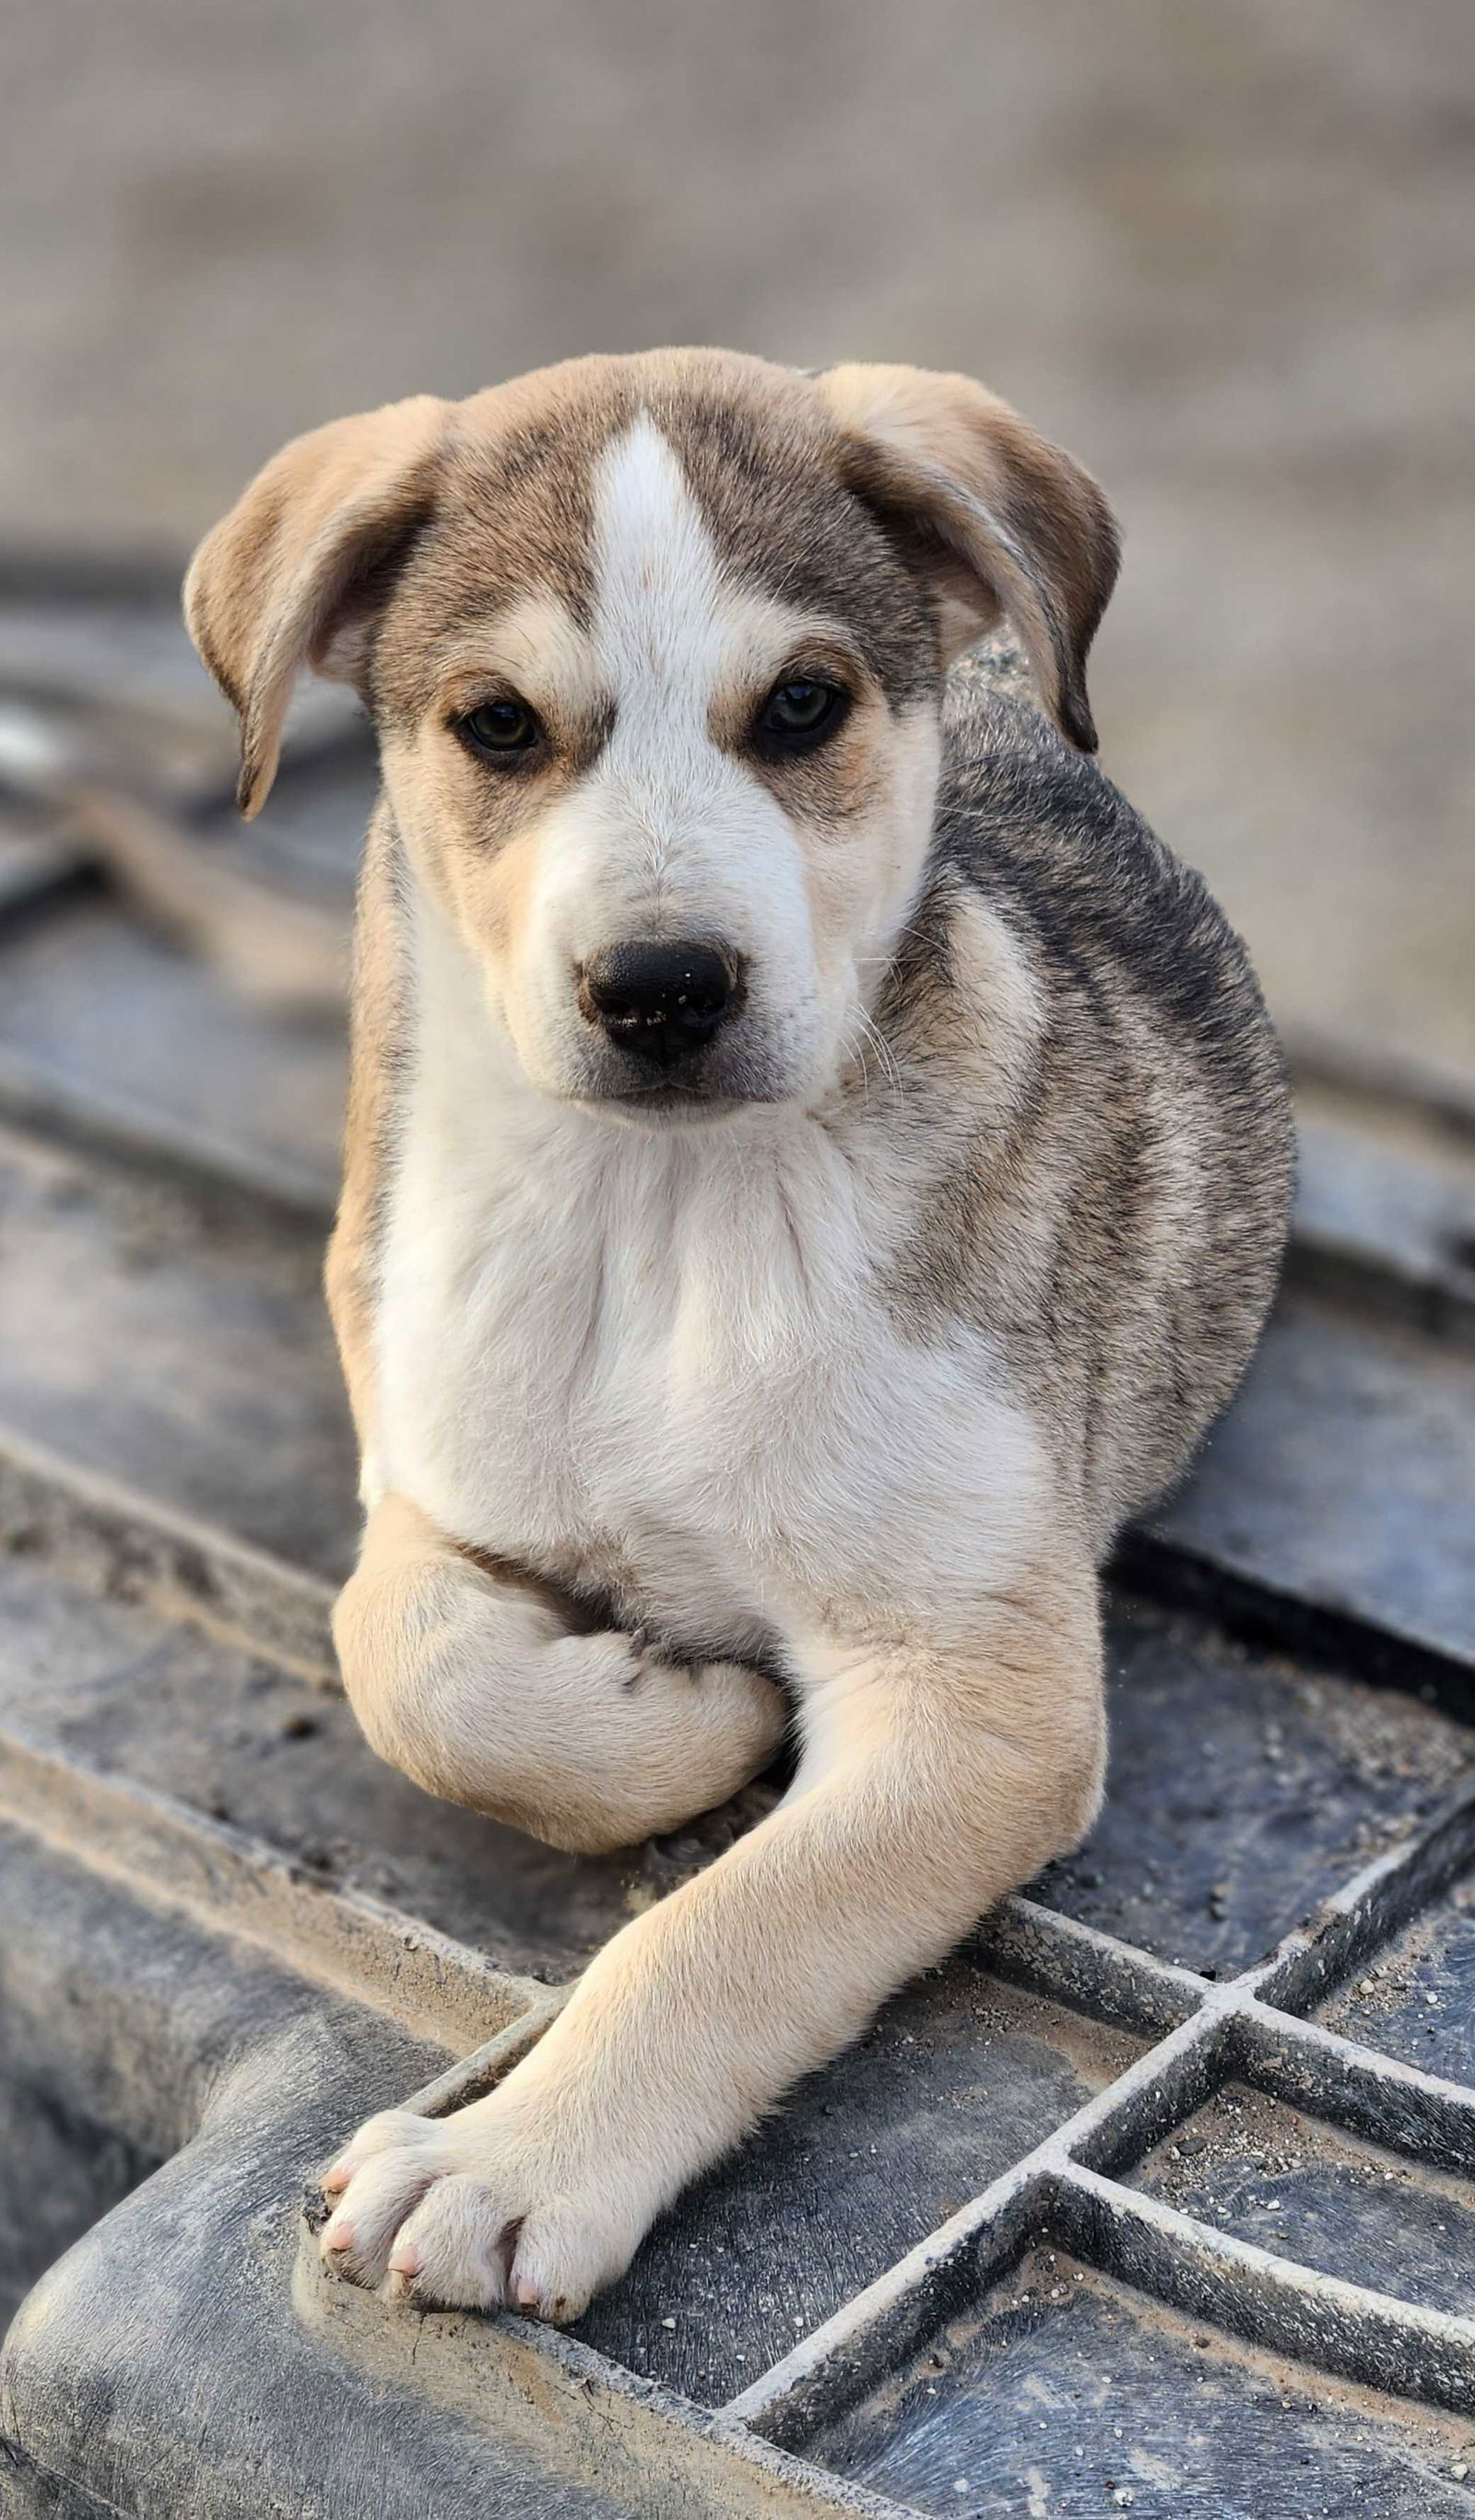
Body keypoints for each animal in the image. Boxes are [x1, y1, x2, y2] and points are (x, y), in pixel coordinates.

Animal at [183, 349, 1291, 2318]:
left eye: (801, 705)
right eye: (495, 724)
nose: (662, 991)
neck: (659, 1220)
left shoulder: (973, 1693)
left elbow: (734, 1926)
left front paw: (516, 2158)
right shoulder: (437, 1474)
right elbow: (410, 1660)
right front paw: (680, 1714)